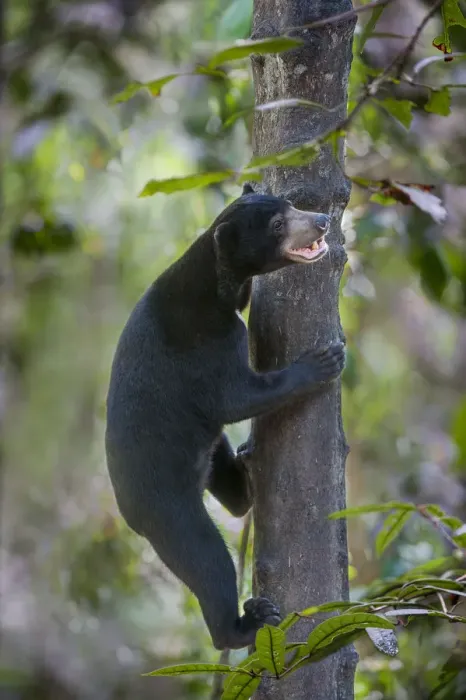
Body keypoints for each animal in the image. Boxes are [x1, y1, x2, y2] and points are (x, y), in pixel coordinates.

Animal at [105, 184, 345, 650]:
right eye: (277, 225)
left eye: (291, 206)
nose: (322, 221)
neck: (212, 283)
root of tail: (128, 514)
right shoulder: (206, 343)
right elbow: (236, 397)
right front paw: (324, 361)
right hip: (171, 509)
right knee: (208, 561)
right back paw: (245, 624)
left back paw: (245, 476)